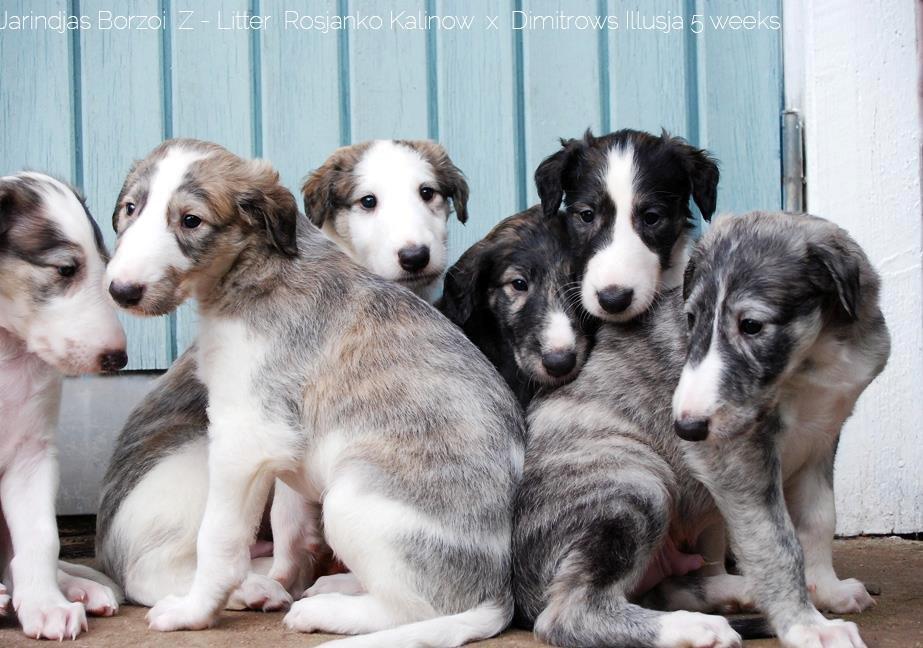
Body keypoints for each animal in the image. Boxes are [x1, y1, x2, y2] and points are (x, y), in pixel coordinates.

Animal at [0, 173, 126, 644]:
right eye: (66, 269)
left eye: (104, 263)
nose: (118, 359)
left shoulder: (32, 454)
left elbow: (41, 537)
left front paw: (46, 606)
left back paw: (75, 587)